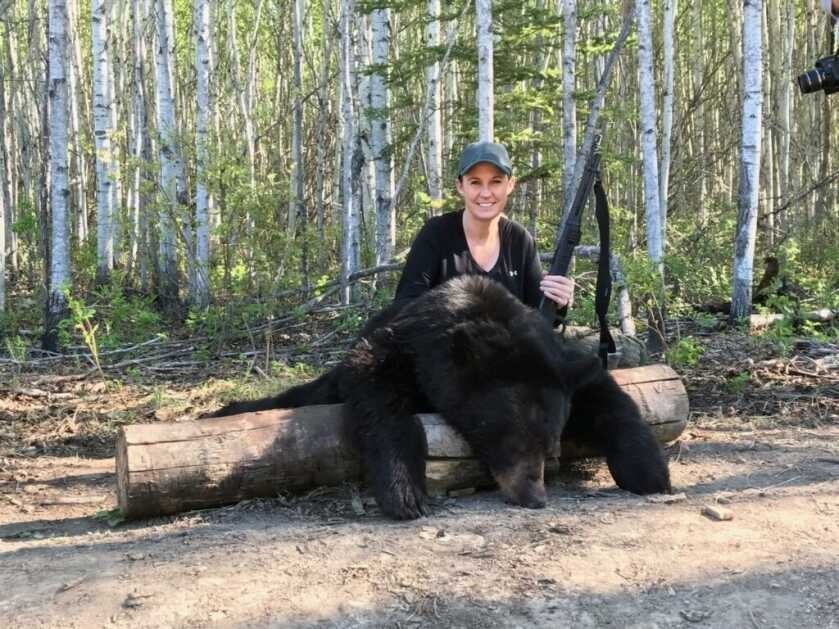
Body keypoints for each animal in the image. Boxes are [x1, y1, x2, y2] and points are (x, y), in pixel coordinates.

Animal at [209, 275, 671, 519]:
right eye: (510, 441)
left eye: (551, 445)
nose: (536, 498)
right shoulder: (403, 349)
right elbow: (378, 396)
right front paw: (404, 492)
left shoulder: (555, 362)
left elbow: (605, 393)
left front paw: (649, 470)